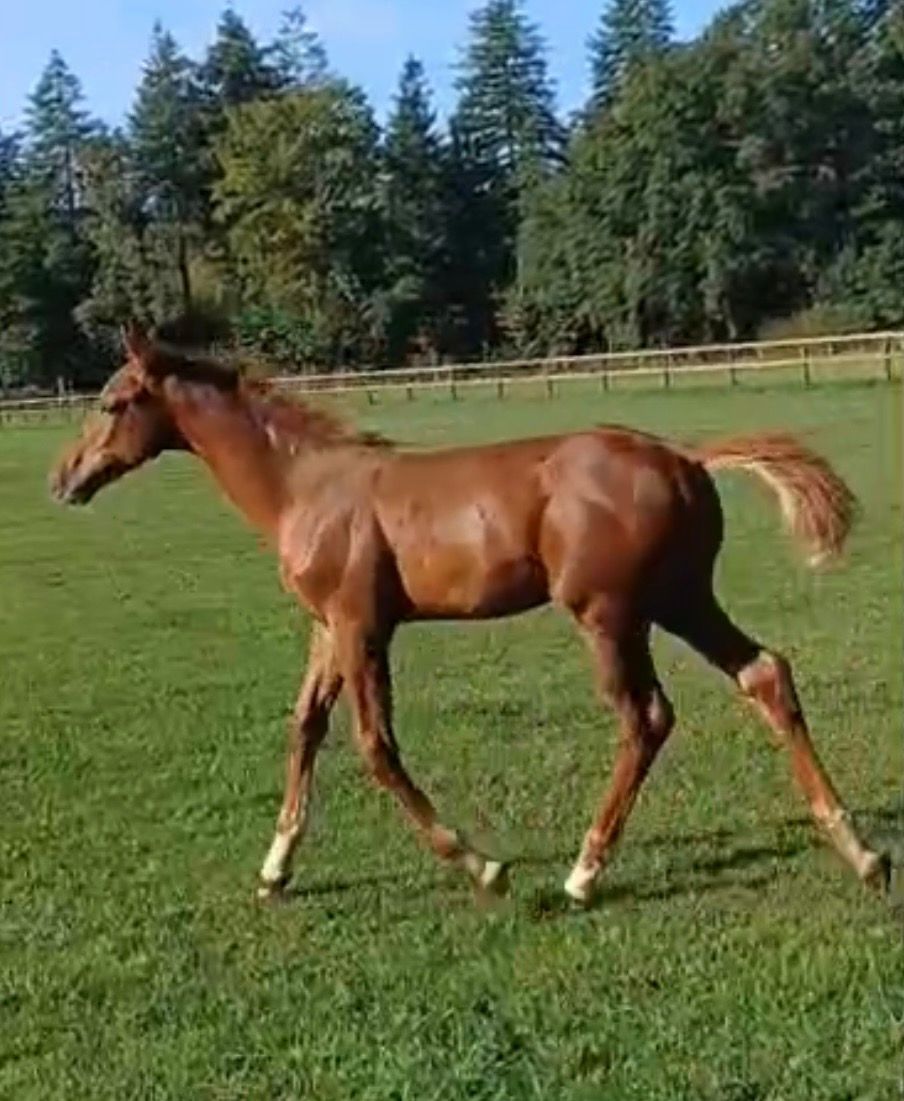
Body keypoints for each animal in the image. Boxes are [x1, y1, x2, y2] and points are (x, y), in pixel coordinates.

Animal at [49, 324, 890, 904]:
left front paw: (483, 864)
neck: (306, 487)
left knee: (647, 716)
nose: (63, 479)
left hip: (610, 613)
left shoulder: (363, 626)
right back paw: (860, 849)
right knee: (765, 674)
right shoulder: (329, 626)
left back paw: (584, 871)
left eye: (112, 403)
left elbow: (375, 746)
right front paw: (276, 868)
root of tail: (687, 459)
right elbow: (305, 726)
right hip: (682, 598)